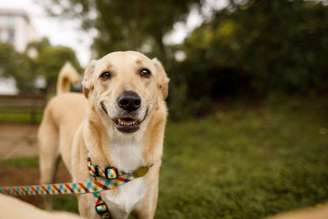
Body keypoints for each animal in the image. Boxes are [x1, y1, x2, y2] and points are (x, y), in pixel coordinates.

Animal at [39, 51, 169, 219]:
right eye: (105, 75)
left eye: (145, 72)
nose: (129, 101)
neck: (126, 145)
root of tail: (62, 95)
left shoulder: (145, 212)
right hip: (47, 172)